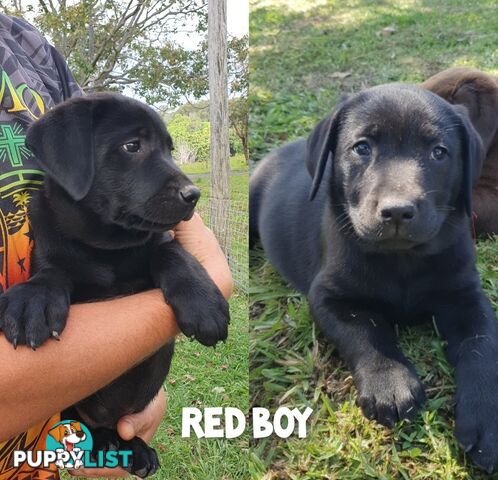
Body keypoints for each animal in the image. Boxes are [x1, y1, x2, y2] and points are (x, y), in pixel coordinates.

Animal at [0, 93, 229, 476]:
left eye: (169, 149)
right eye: (132, 146)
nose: (193, 195)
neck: (105, 248)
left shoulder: (158, 242)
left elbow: (170, 252)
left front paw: (204, 303)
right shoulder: (52, 253)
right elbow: (51, 274)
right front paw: (33, 301)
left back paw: (133, 449)